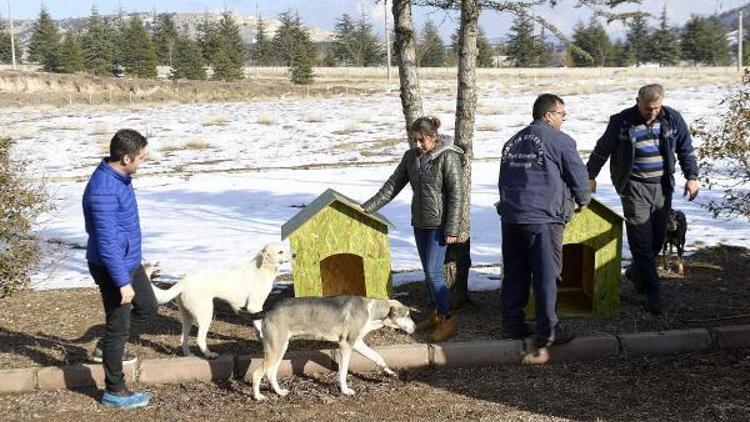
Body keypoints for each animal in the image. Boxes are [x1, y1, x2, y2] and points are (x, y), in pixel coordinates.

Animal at [151, 242, 290, 358]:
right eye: (280, 252)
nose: (293, 255)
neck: (262, 268)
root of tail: (185, 280)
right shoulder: (254, 306)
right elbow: (259, 325)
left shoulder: (252, 309)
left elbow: (256, 326)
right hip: (206, 314)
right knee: (200, 339)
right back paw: (209, 355)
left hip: (187, 316)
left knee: (183, 338)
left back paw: (189, 355)